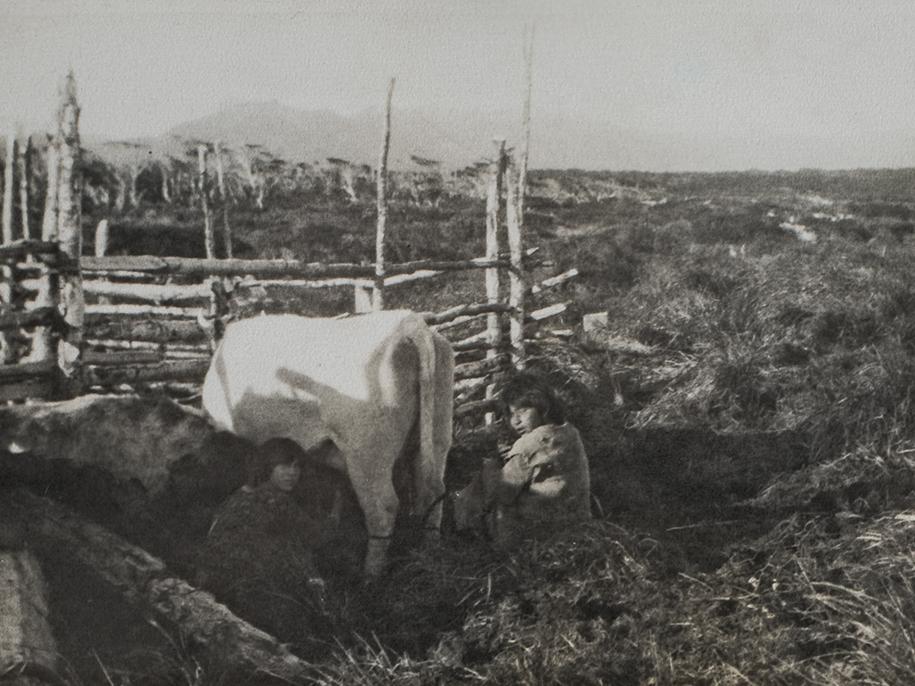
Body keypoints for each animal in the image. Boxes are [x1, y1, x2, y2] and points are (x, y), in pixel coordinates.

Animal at [203, 314, 454, 576]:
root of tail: (408, 322)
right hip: (438, 432)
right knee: (433, 490)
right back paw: (430, 555)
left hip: (366, 453)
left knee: (383, 508)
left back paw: (371, 575)